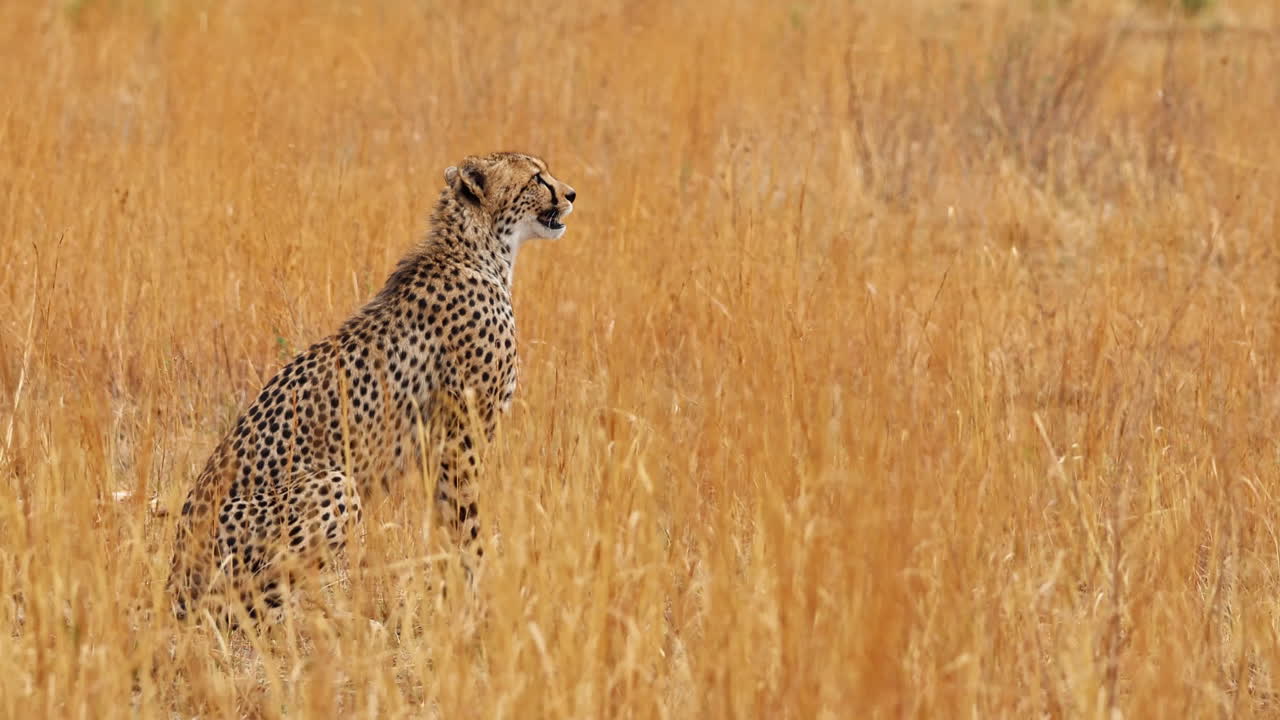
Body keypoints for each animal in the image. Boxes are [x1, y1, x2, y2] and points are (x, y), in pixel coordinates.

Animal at [166, 151, 576, 625]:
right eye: (537, 178)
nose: (570, 194)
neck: (476, 251)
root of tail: (175, 571)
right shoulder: (461, 438)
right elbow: (468, 522)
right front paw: (477, 600)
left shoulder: (439, 446)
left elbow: (445, 522)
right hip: (335, 484)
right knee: (246, 608)